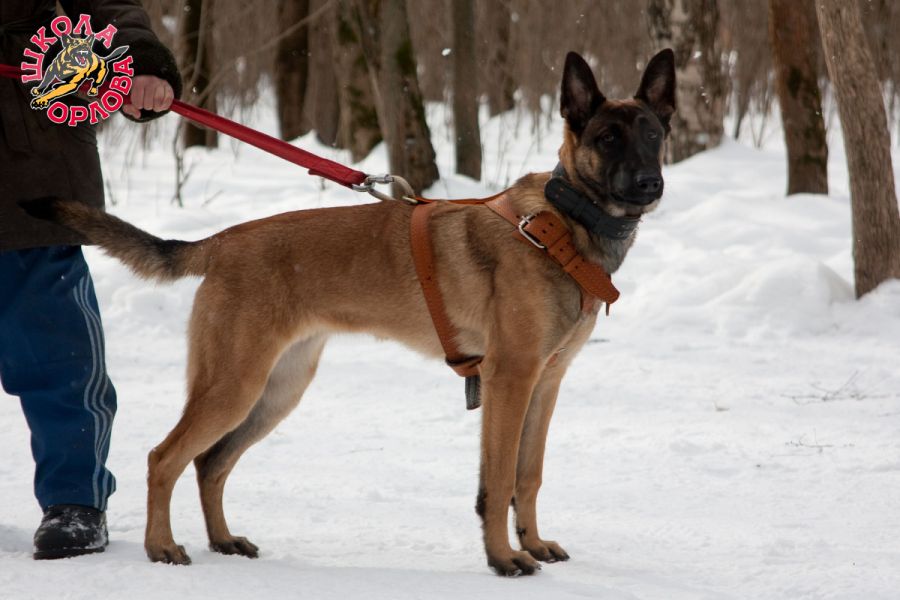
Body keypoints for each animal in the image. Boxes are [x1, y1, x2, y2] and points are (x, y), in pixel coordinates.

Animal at [22, 49, 675, 576]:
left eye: (652, 135)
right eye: (607, 139)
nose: (651, 183)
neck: (563, 224)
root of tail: (224, 241)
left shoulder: (545, 384)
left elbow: (528, 476)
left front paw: (532, 544)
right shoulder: (509, 382)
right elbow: (496, 482)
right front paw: (502, 559)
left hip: (276, 391)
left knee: (210, 463)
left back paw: (223, 540)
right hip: (234, 385)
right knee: (165, 457)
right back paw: (162, 547)